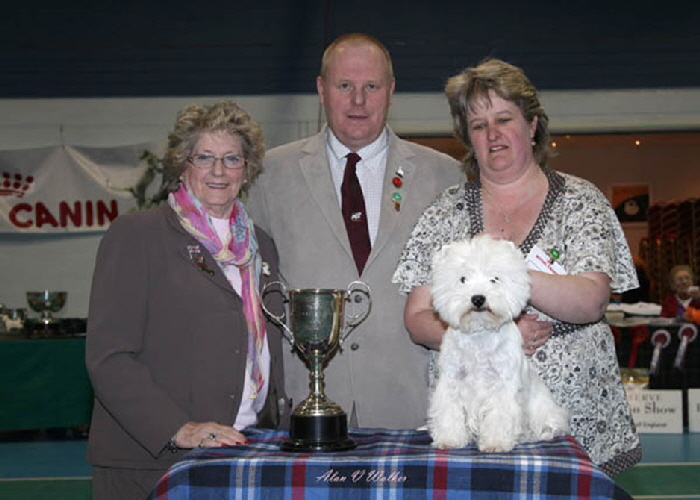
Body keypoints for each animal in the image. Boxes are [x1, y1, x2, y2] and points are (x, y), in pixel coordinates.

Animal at [426, 235, 568, 454]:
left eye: (494, 279)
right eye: (463, 279)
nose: (478, 298)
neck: (480, 334)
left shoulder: (503, 384)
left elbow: (500, 415)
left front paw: (495, 443)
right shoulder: (451, 380)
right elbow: (449, 410)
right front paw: (449, 439)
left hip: (545, 411)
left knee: (548, 427)